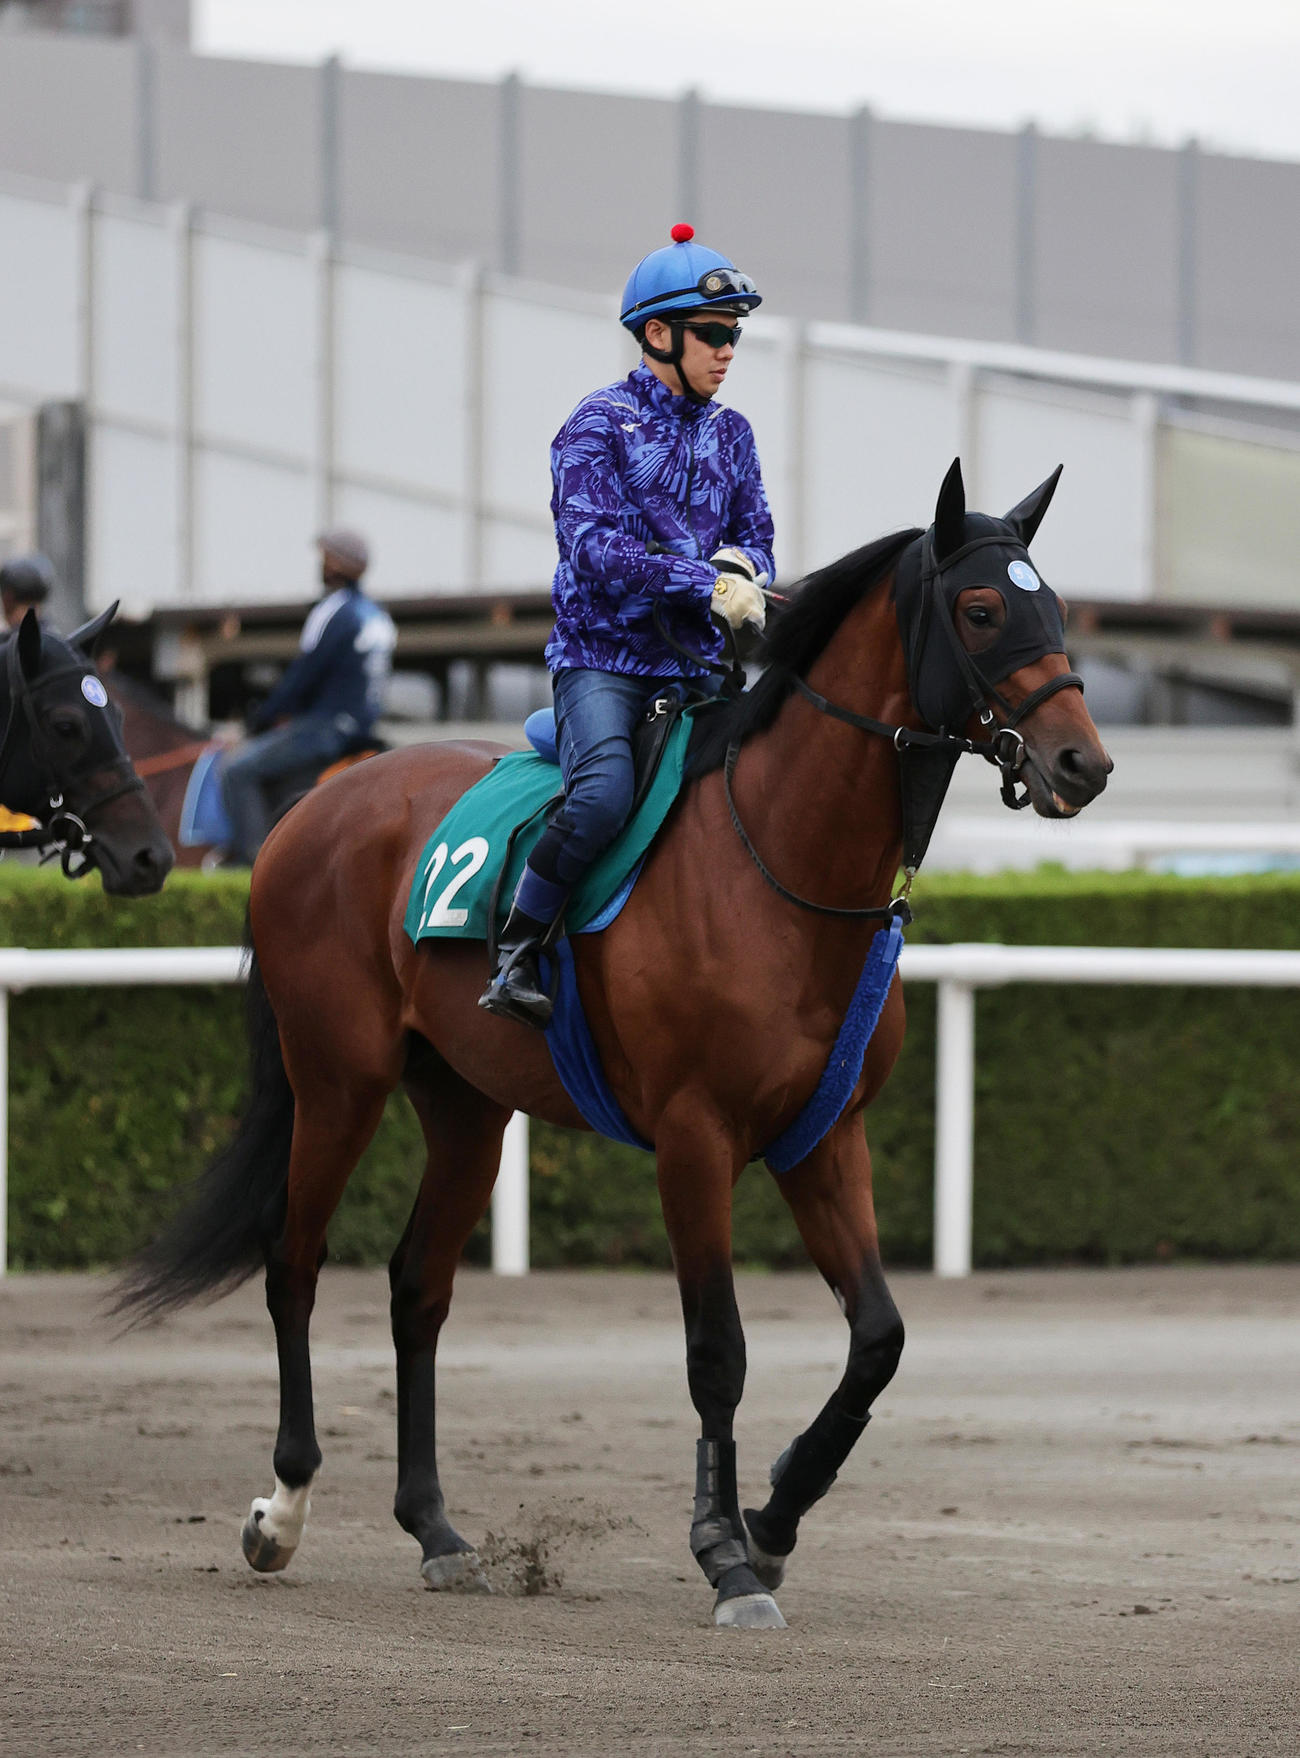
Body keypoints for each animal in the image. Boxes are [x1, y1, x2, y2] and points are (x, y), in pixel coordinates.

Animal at [118, 461, 1111, 1629]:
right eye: (983, 608)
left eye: (1054, 604)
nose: (1082, 763)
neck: (780, 863)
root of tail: (310, 810)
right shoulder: (695, 1138)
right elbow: (717, 1352)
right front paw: (725, 1555)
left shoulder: (825, 1137)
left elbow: (879, 1339)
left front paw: (774, 1518)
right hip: (338, 1080)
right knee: (294, 1263)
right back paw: (283, 1508)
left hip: (466, 1106)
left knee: (418, 1288)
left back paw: (436, 1529)